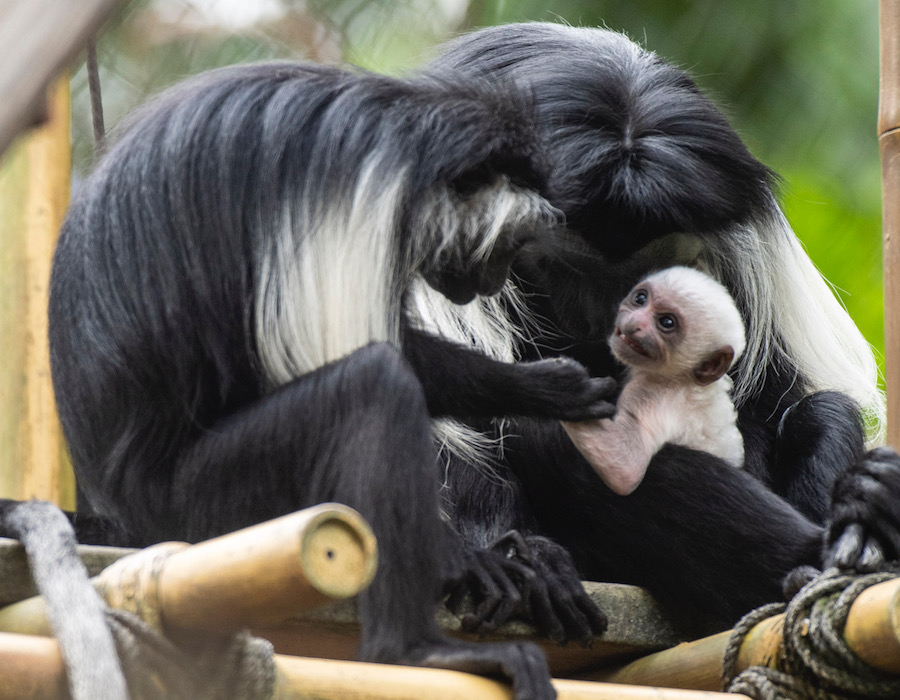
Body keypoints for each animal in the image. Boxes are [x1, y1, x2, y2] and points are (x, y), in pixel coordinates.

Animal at [47, 61, 624, 700]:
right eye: (509, 245)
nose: (493, 282)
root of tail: (119, 504)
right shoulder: (357, 197)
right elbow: (368, 354)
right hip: (201, 496)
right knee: (373, 388)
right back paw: (413, 649)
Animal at [564, 266, 744, 494]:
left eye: (666, 322)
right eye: (640, 299)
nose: (635, 323)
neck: (683, 377)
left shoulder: (650, 392)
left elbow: (624, 468)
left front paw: (562, 389)